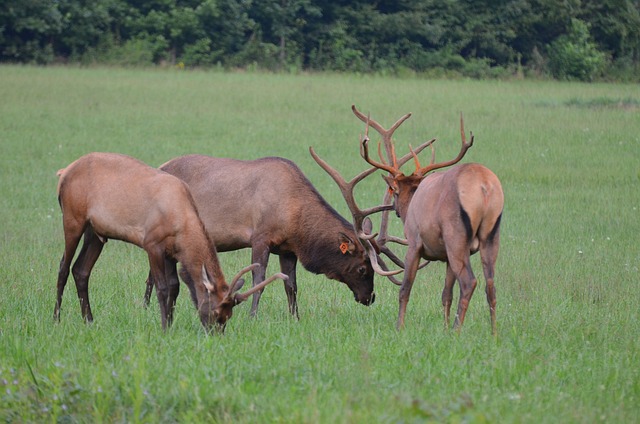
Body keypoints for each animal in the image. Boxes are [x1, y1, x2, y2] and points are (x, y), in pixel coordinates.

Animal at [54, 152, 284, 332]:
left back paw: (89, 320)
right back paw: (56, 317)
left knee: (81, 270)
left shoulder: (172, 253)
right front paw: (164, 327)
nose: (215, 334)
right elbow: (162, 287)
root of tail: (63, 172)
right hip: (72, 219)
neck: (181, 222)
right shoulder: (152, 244)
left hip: (96, 232)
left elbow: (175, 287)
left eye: (229, 316)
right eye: (216, 311)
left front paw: (171, 324)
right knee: (64, 266)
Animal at [141, 155, 390, 318]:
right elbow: (259, 280)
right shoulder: (261, 238)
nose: (370, 297)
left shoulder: (287, 248)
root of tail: (160, 165)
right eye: (363, 269)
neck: (295, 220)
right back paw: (146, 307)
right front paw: (253, 315)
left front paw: (295, 318)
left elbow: (291, 285)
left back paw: (147, 307)